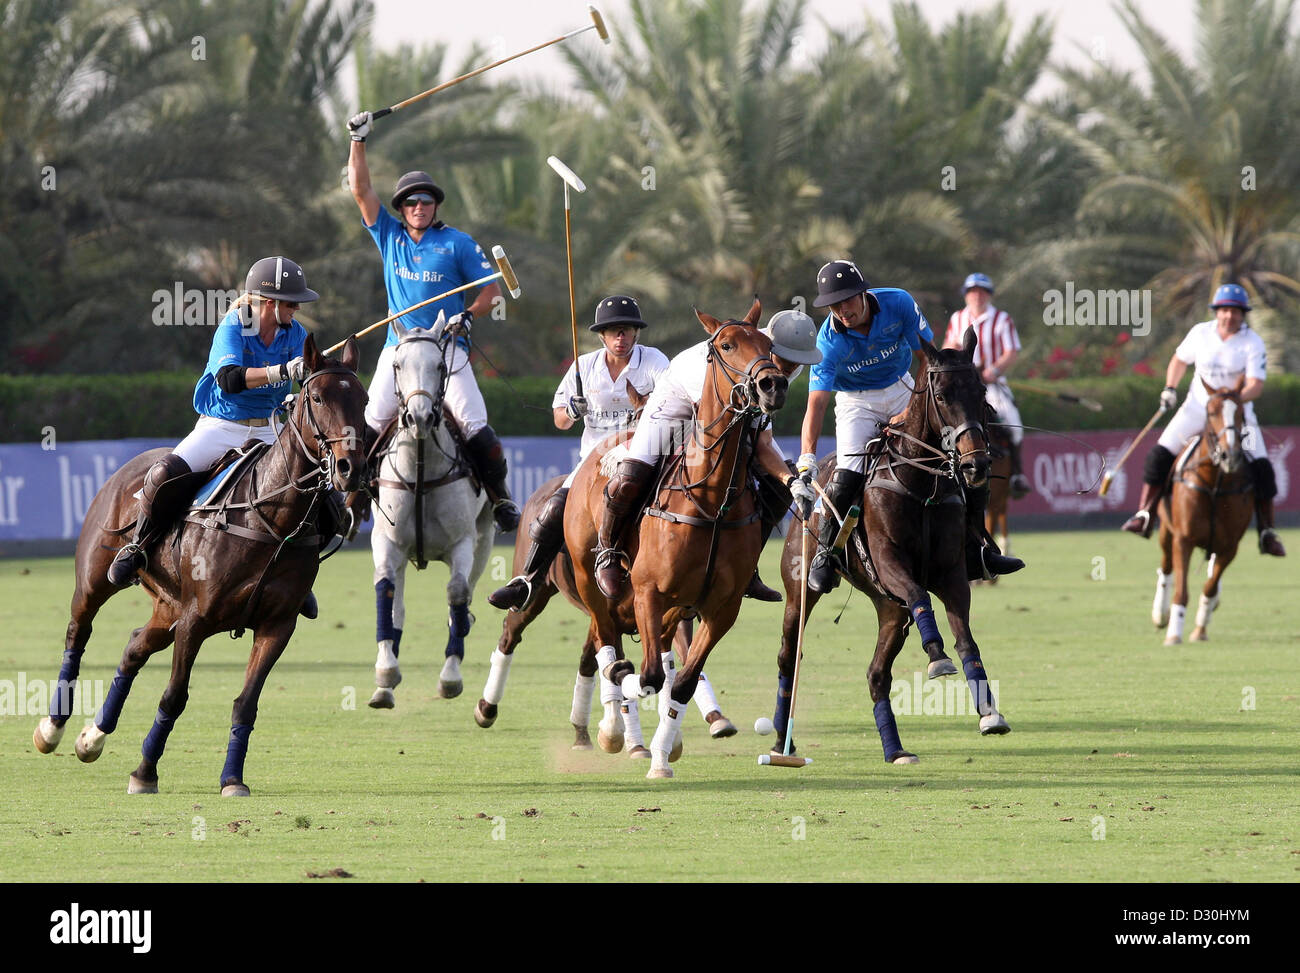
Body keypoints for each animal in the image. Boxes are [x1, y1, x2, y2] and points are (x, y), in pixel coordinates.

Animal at [31, 338, 366, 796]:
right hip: (97, 580)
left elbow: (246, 704)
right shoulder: (196, 619)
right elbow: (174, 696)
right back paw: (53, 728)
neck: (270, 517)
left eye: (363, 400)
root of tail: (134, 463)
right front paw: (144, 773)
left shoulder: (277, 625)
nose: (352, 469)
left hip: (168, 604)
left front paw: (232, 779)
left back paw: (92, 738)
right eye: (316, 397)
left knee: (134, 646)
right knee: (77, 632)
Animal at [369, 318, 493, 707]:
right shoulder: (386, 541)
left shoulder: (463, 542)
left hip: (485, 539)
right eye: (397, 365)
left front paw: (450, 677)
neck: (421, 469)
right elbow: (385, 590)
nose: (419, 417)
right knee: (397, 605)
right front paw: (385, 672)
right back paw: (385, 685)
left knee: (466, 594)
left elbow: (456, 593)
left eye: (440, 366)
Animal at [566, 300, 780, 780]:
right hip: (590, 583)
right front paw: (628, 716)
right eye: (725, 345)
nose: (771, 383)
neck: (711, 499)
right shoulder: (649, 592)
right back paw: (611, 724)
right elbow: (644, 676)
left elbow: (679, 680)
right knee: (605, 645)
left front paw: (664, 756)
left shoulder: (721, 608)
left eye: (768, 343)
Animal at [764, 330, 1008, 764]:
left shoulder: (951, 574)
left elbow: (966, 638)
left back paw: (895, 749)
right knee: (789, 656)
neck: (921, 484)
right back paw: (781, 741)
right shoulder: (892, 562)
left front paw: (989, 713)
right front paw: (937, 655)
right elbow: (919, 593)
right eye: (942, 395)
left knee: (876, 673)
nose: (975, 465)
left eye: (981, 391)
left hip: (890, 610)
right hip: (798, 592)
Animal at [1154, 379, 1253, 645]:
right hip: (1166, 531)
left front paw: (1199, 628)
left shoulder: (1230, 547)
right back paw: (1160, 614)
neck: (1214, 484)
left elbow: (1210, 586)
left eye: (1241, 413)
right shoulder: (1183, 539)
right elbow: (1181, 590)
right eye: (1211, 412)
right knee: (1166, 567)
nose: (1230, 456)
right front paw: (1174, 633)